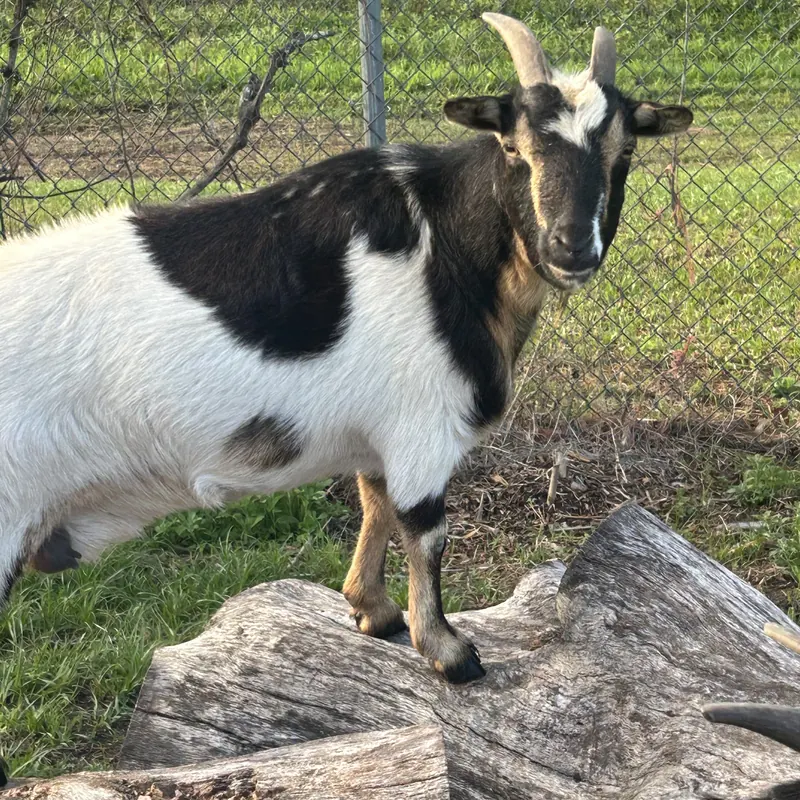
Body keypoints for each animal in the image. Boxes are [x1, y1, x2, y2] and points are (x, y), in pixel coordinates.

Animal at [0, 13, 692, 684]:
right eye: (512, 146)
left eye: (625, 150)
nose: (572, 247)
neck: (445, 245)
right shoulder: (422, 426)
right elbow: (426, 531)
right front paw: (448, 652)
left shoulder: (378, 433)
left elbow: (374, 503)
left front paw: (373, 611)